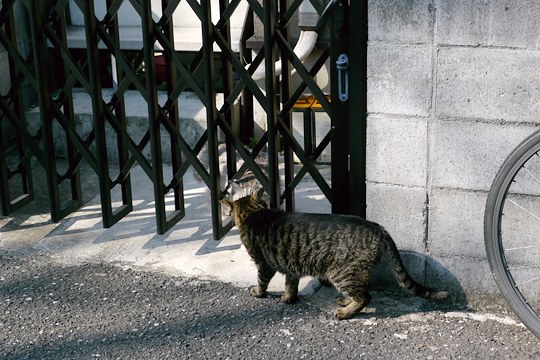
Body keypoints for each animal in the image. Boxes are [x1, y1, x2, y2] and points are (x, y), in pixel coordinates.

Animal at [219, 190, 448, 320]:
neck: (255, 213)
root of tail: (378, 228)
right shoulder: (291, 266)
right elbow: (291, 284)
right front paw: (288, 298)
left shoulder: (264, 264)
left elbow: (262, 281)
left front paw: (258, 292)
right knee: (361, 292)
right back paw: (346, 302)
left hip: (341, 273)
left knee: (365, 296)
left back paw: (345, 313)